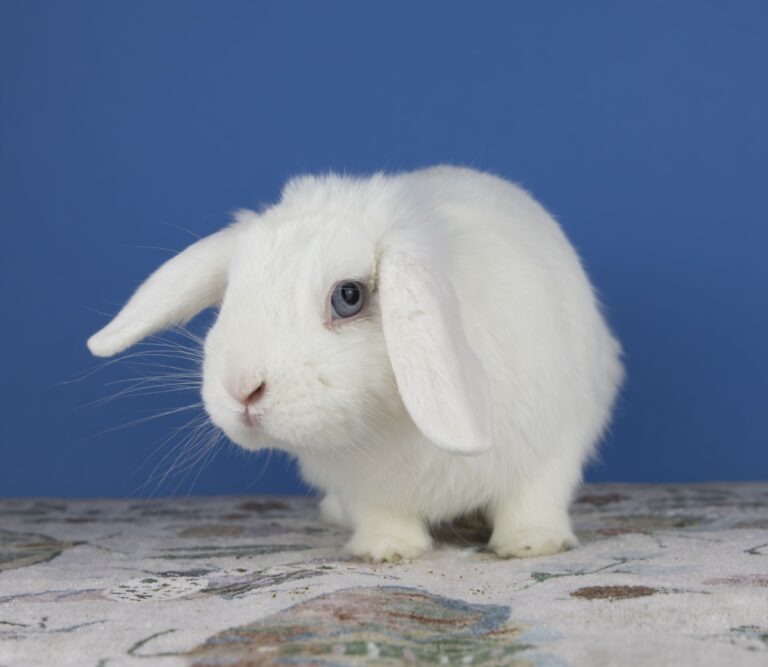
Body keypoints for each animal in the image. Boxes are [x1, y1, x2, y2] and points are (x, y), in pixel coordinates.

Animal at [88, 165, 624, 562]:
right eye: (230, 294)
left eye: (348, 296)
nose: (241, 388)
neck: (389, 421)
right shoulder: (365, 487)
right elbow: (383, 516)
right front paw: (386, 551)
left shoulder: (551, 447)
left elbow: (533, 499)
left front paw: (531, 545)